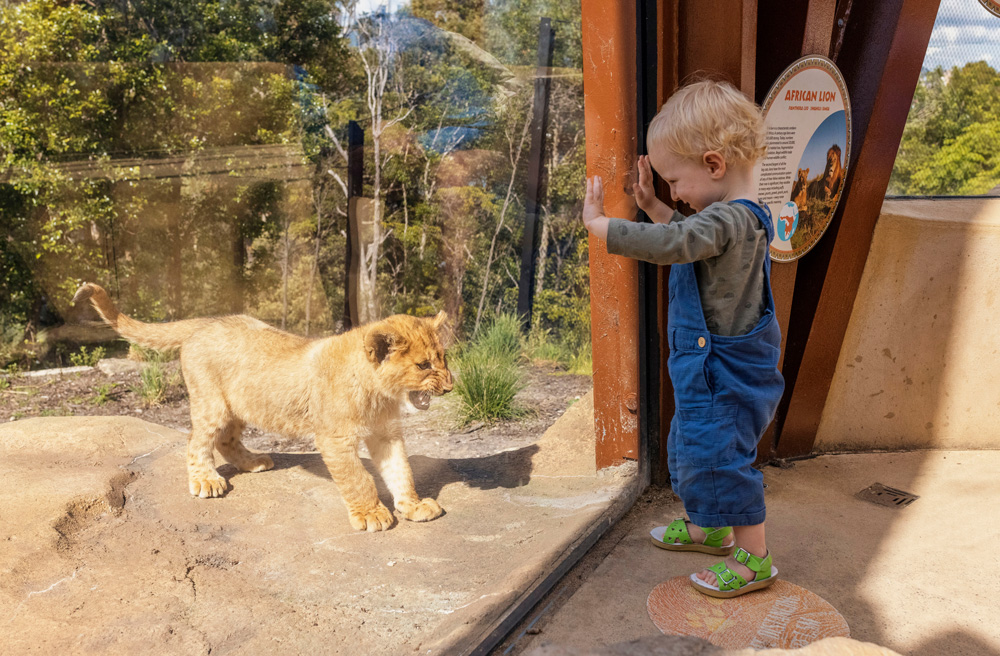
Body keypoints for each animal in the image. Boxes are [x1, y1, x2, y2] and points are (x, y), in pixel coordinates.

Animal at [72, 283, 452, 532]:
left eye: (444, 359)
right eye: (423, 366)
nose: (450, 386)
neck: (381, 394)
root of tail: (207, 321)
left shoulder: (386, 435)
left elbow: (401, 471)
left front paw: (414, 506)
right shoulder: (334, 439)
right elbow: (359, 479)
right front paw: (372, 514)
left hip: (241, 406)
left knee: (226, 440)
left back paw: (254, 462)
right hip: (212, 404)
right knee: (196, 441)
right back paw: (206, 481)